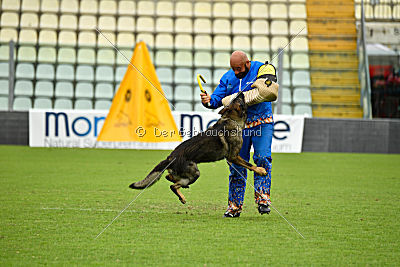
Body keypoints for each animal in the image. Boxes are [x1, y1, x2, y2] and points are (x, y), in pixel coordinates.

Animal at [130, 92, 268, 205]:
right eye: (237, 99)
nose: (240, 92)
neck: (232, 119)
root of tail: (170, 157)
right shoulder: (233, 156)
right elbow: (249, 164)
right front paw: (261, 170)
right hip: (195, 173)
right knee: (173, 186)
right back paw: (182, 197)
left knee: (169, 178)